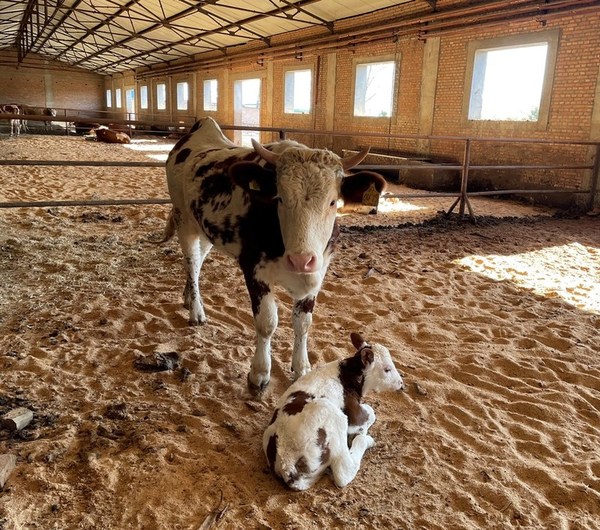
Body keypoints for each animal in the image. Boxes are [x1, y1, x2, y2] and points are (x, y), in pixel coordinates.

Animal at [262, 332, 404, 488]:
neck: (348, 373)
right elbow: (370, 413)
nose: (401, 383)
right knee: (344, 472)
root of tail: (286, 464)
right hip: (334, 416)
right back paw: (366, 440)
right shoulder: (354, 415)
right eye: (387, 369)